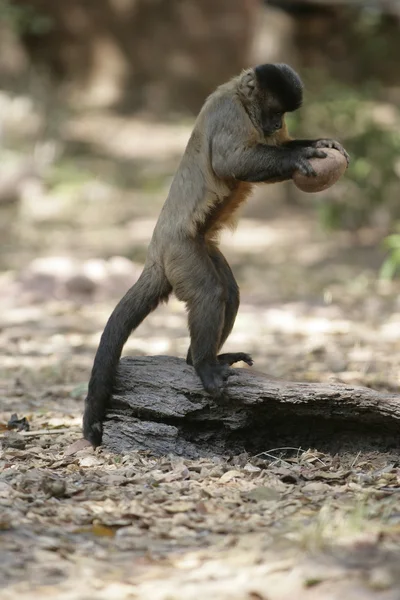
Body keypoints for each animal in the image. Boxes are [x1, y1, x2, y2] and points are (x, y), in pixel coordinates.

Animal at [83, 64, 348, 446]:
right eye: (274, 110)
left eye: (282, 116)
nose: (274, 123)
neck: (239, 94)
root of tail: (155, 252)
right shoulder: (229, 112)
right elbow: (231, 161)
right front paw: (299, 156)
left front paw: (316, 144)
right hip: (181, 251)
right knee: (210, 293)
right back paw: (204, 366)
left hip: (203, 247)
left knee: (230, 294)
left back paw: (198, 359)